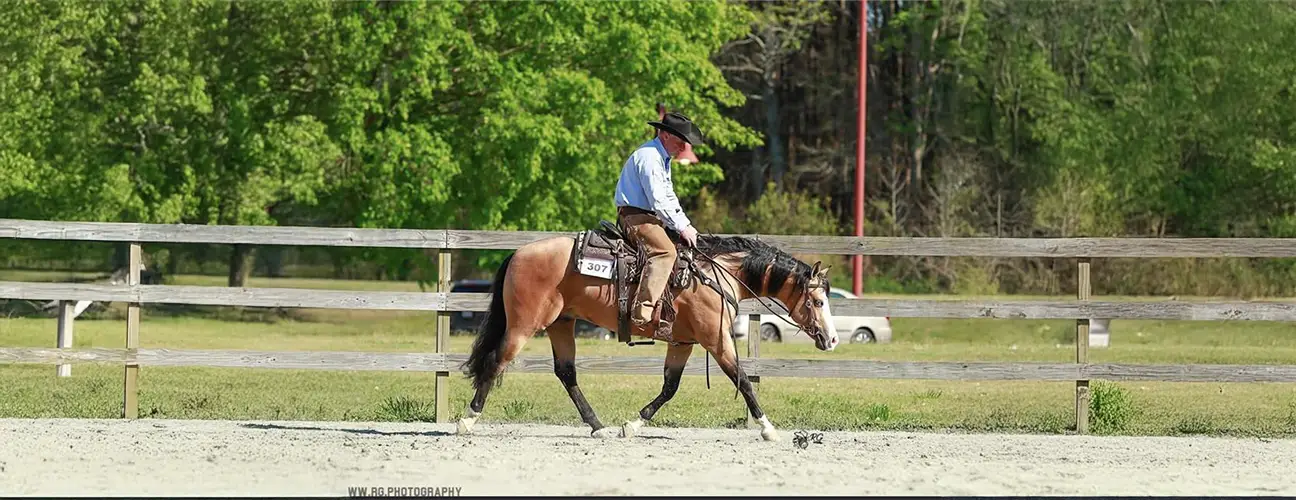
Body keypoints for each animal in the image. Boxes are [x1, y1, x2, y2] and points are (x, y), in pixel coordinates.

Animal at [456, 228, 841, 442]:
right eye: (818, 301)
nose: (833, 339)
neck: (716, 275)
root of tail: (518, 253)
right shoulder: (717, 341)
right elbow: (743, 380)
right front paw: (768, 428)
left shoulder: (682, 342)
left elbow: (669, 387)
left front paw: (632, 425)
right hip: (523, 326)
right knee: (495, 362)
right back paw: (467, 420)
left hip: (561, 324)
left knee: (566, 372)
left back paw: (598, 426)